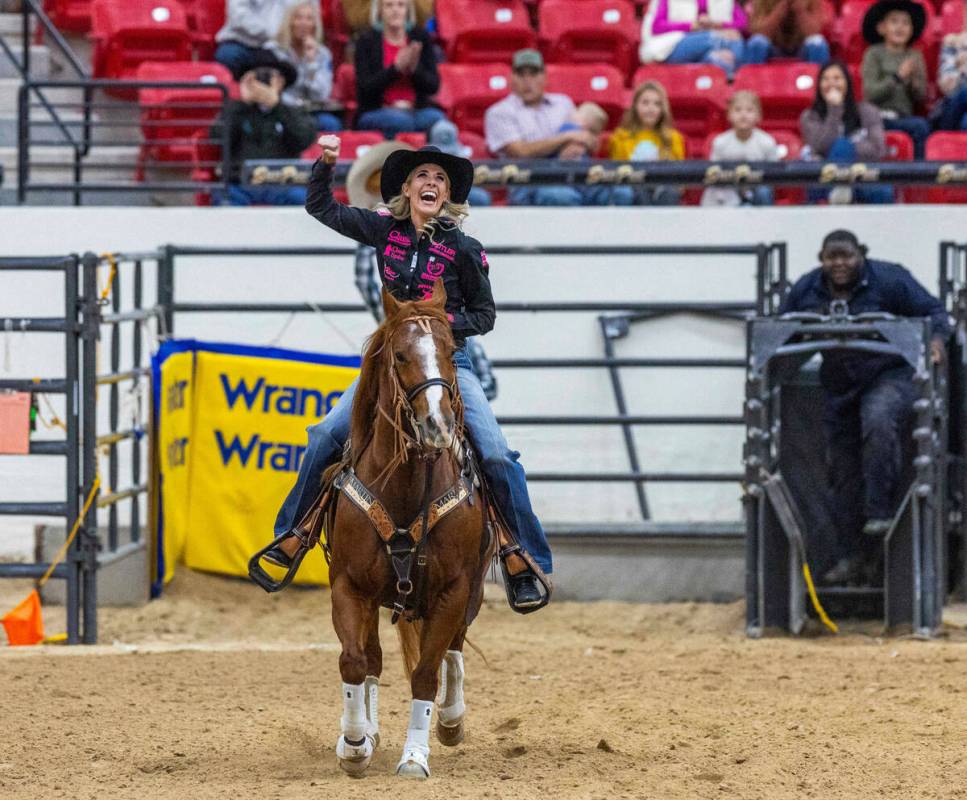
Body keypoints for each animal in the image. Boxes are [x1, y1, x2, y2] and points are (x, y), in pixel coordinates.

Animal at [328, 280, 492, 776]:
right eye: (400, 355)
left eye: (450, 349)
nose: (437, 424)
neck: (403, 490)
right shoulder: (349, 585)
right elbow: (355, 661)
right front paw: (355, 743)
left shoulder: (453, 590)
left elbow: (425, 673)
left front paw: (415, 756)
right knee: (375, 659)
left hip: (474, 586)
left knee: (453, 651)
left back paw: (452, 720)